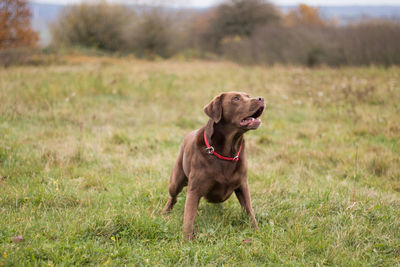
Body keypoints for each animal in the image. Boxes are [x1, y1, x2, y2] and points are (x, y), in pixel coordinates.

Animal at [161, 91, 264, 241]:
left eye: (248, 95)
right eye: (236, 98)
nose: (261, 98)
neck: (226, 153)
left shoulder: (243, 185)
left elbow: (249, 211)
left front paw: (256, 232)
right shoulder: (194, 190)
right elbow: (189, 217)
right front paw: (187, 240)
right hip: (176, 181)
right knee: (173, 197)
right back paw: (164, 213)